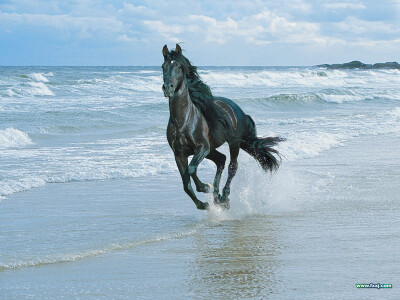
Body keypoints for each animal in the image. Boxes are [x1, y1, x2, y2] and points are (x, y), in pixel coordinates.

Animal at [161, 44, 282, 210]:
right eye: (163, 66)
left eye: (179, 67)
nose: (168, 88)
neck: (183, 122)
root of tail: (238, 110)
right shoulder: (179, 154)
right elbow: (186, 184)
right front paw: (203, 203)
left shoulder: (202, 148)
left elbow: (191, 169)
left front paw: (205, 187)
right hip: (212, 149)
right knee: (221, 160)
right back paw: (217, 197)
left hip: (233, 143)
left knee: (232, 166)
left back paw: (224, 196)